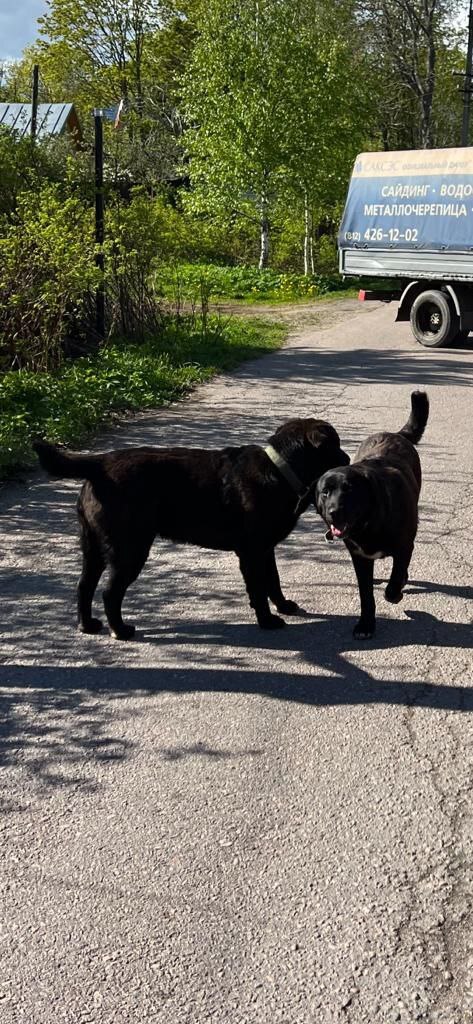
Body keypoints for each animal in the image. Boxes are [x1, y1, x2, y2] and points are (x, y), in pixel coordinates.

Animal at [33, 419, 348, 634]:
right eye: (335, 445)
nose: (347, 458)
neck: (279, 469)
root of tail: (98, 464)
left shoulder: (264, 548)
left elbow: (273, 580)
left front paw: (283, 606)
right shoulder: (252, 551)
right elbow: (259, 587)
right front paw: (267, 619)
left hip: (94, 548)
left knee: (84, 585)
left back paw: (87, 625)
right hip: (129, 549)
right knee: (110, 592)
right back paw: (121, 631)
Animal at [315, 391, 430, 638]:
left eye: (350, 490)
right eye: (325, 492)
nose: (334, 512)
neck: (369, 523)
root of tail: (395, 434)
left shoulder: (404, 547)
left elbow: (395, 580)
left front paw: (395, 593)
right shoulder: (359, 558)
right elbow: (366, 596)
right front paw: (365, 625)